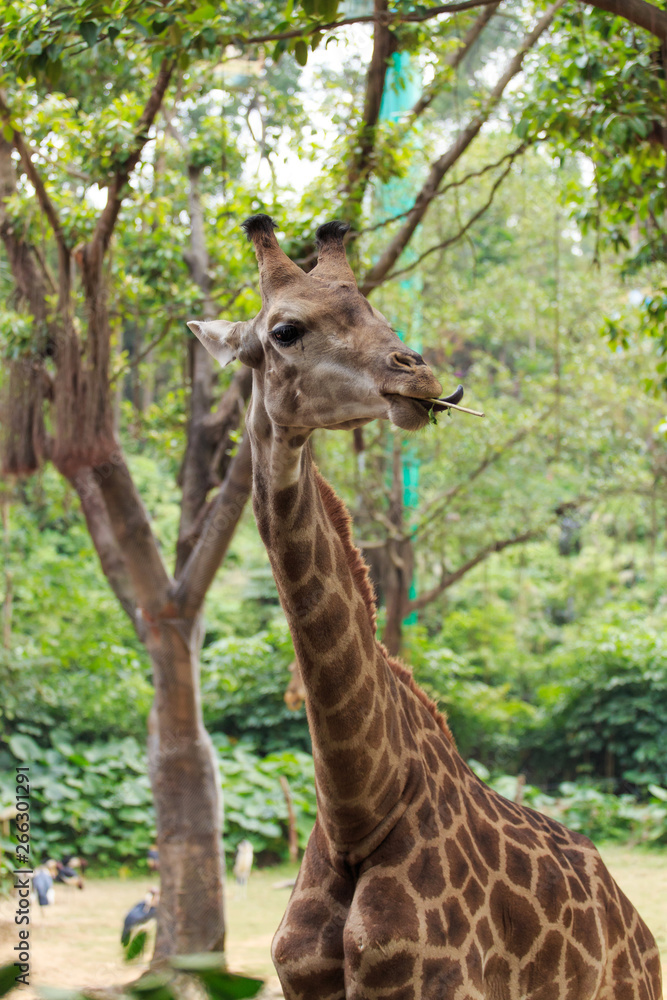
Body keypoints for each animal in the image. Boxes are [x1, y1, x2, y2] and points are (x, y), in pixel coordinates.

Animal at [188, 215, 662, 1000]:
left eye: (377, 311)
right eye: (285, 330)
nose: (420, 377)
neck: (358, 809)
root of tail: (633, 922)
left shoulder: (434, 986)